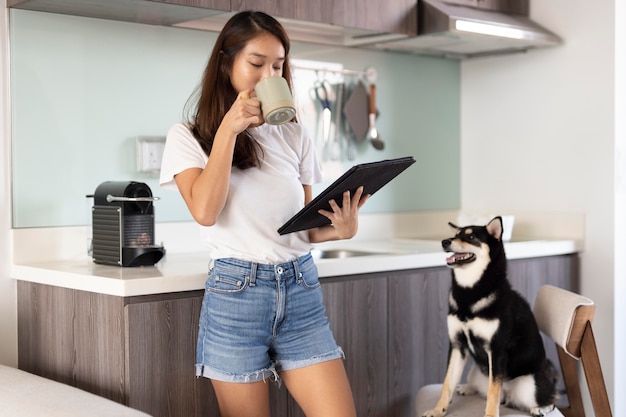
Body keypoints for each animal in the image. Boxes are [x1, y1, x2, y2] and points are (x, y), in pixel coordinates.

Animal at [422, 216, 552, 414]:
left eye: (471, 236)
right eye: (456, 234)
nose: (445, 242)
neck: (470, 291)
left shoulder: (496, 349)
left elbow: (493, 392)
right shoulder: (457, 345)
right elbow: (447, 384)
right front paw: (438, 411)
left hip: (529, 385)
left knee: (549, 397)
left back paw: (541, 408)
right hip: (476, 371)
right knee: (482, 387)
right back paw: (467, 388)